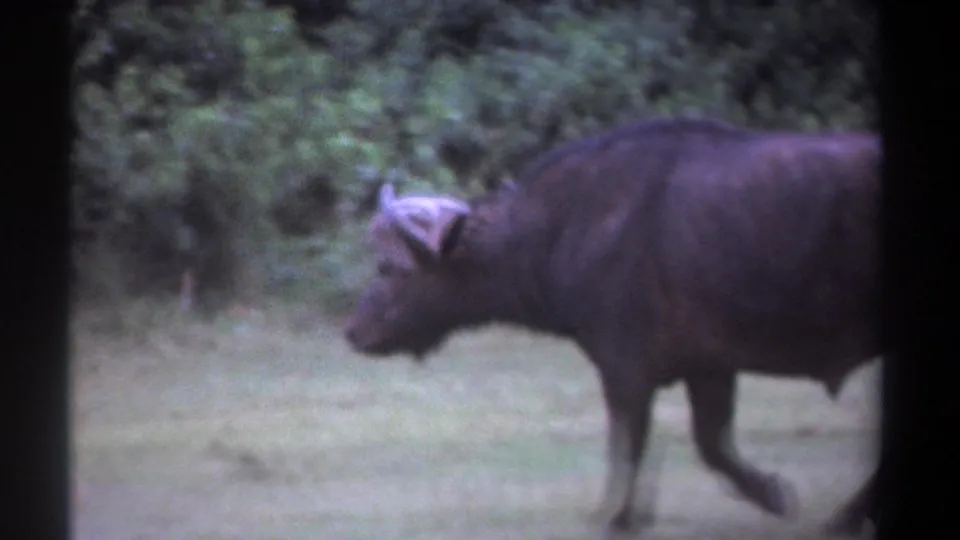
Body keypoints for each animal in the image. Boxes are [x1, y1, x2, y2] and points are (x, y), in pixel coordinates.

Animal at [344, 117, 881, 537]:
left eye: (389, 268)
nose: (353, 330)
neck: (568, 226)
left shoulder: (626, 368)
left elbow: (629, 444)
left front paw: (614, 516)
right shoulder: (708, 366)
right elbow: (712, 445)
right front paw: (771, 493)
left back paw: (847, 517)